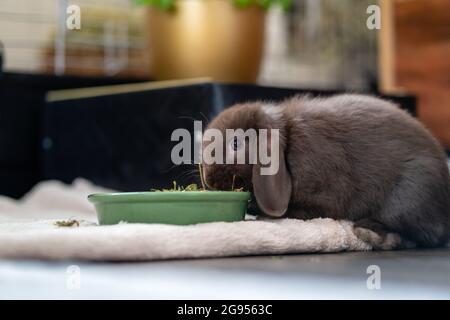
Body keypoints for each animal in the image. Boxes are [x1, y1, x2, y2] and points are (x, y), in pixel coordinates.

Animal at [203, 94, 450, 249]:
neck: (288, 140)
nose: (209, 181)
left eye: (236, 143)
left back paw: (368, 232)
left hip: (409, 196)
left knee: (419, 234)